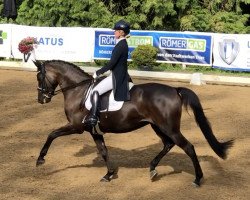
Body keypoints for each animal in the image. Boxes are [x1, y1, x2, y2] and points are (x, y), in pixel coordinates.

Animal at [34, 59, 233, 186]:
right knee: (168, 144)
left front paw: (40, 159)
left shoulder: (76, 127)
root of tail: (174, 90)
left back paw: (198, 179)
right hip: (157, 126)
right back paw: (152, 169)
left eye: (39, 77)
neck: (79, 91)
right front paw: (109, 174)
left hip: (168, 127)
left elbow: (51, 134)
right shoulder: (94, 131)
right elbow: (103, 151)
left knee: (188, 147)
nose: (41, 100)